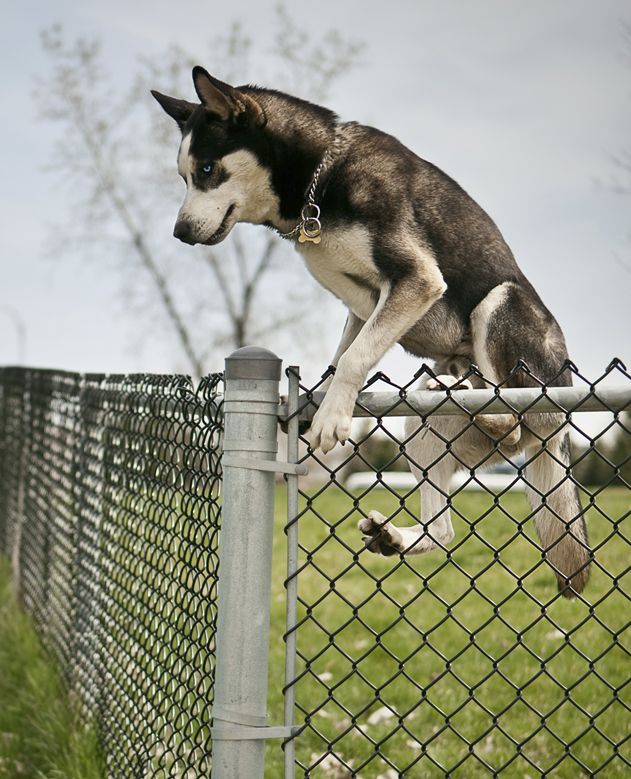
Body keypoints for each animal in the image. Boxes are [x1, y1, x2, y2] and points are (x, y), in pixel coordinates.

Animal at [153, 67, 592, 596]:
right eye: (184, 176)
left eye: (206, 170)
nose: (178, 232)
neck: (320, 179)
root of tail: (559, 421)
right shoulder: (364, 305)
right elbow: (342, 355)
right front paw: (317, 400)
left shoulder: (416, 279)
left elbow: (355, 358)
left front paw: (332, 418)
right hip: (422, 427)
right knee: (444, 527)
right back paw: (400, 528)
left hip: (501, 305)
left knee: (511, 421)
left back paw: (473, 395)